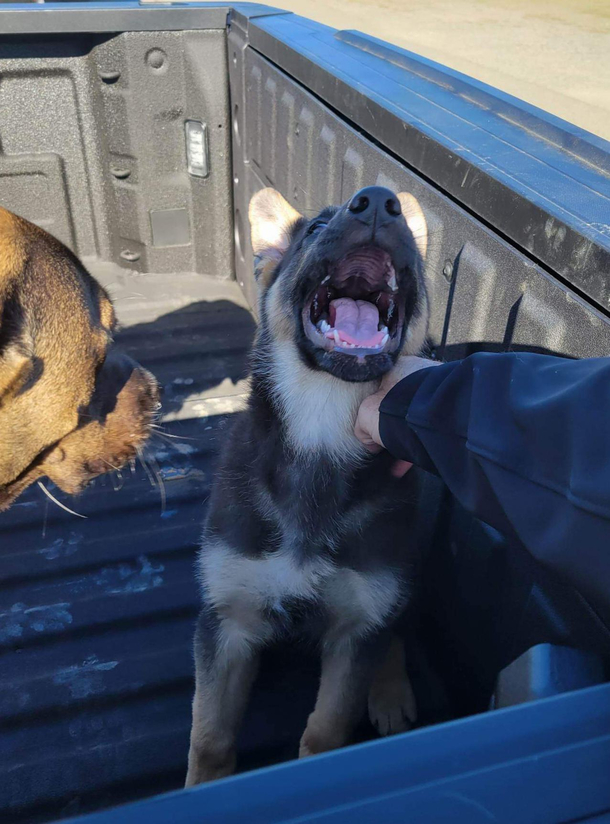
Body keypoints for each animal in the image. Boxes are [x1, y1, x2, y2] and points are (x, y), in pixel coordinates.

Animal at [185, 187, 428, 784]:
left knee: (397, 626)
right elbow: (210, 739)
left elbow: (326, 733)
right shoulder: (226, 622)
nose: (380, 202)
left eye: (413, 244)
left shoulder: (354, 635)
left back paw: (390, 692)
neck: (321, 431)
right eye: (316, 227)